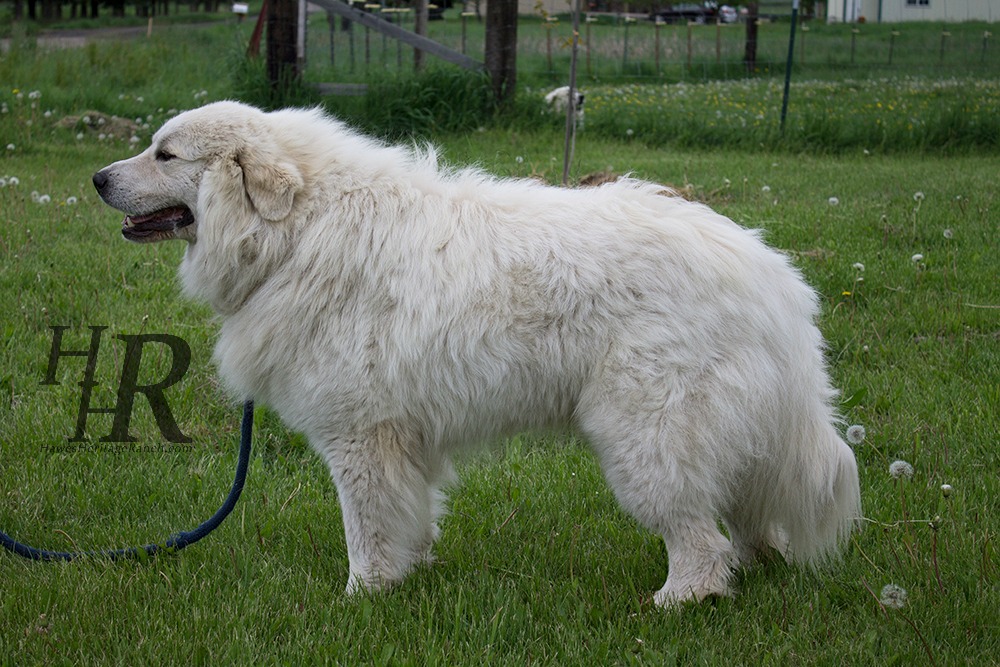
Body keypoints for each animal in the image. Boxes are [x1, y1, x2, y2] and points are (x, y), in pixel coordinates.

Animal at [94, 102, 860, 608]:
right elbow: (407, 518)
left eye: (165, 155)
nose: (99, 178)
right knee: (748, 514)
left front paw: (359, 599)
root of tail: (771, 276)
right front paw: (406, 576)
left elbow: (364, 527)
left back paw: (679, 599)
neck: (299, 231)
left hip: (649, 435)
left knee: (699, 540)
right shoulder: (402, 440)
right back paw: (755, 568)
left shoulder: (359, 435)